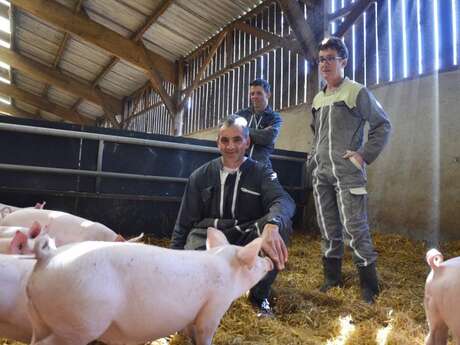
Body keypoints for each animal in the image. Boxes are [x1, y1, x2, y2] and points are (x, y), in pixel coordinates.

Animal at [26, 227, 274, 342]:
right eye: (254, 261)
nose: (270, 262)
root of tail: (47, 257)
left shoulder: (192, 313)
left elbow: (187, 329)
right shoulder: (214, 307)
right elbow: (205, 332)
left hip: (39, 319)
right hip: (79, 324)